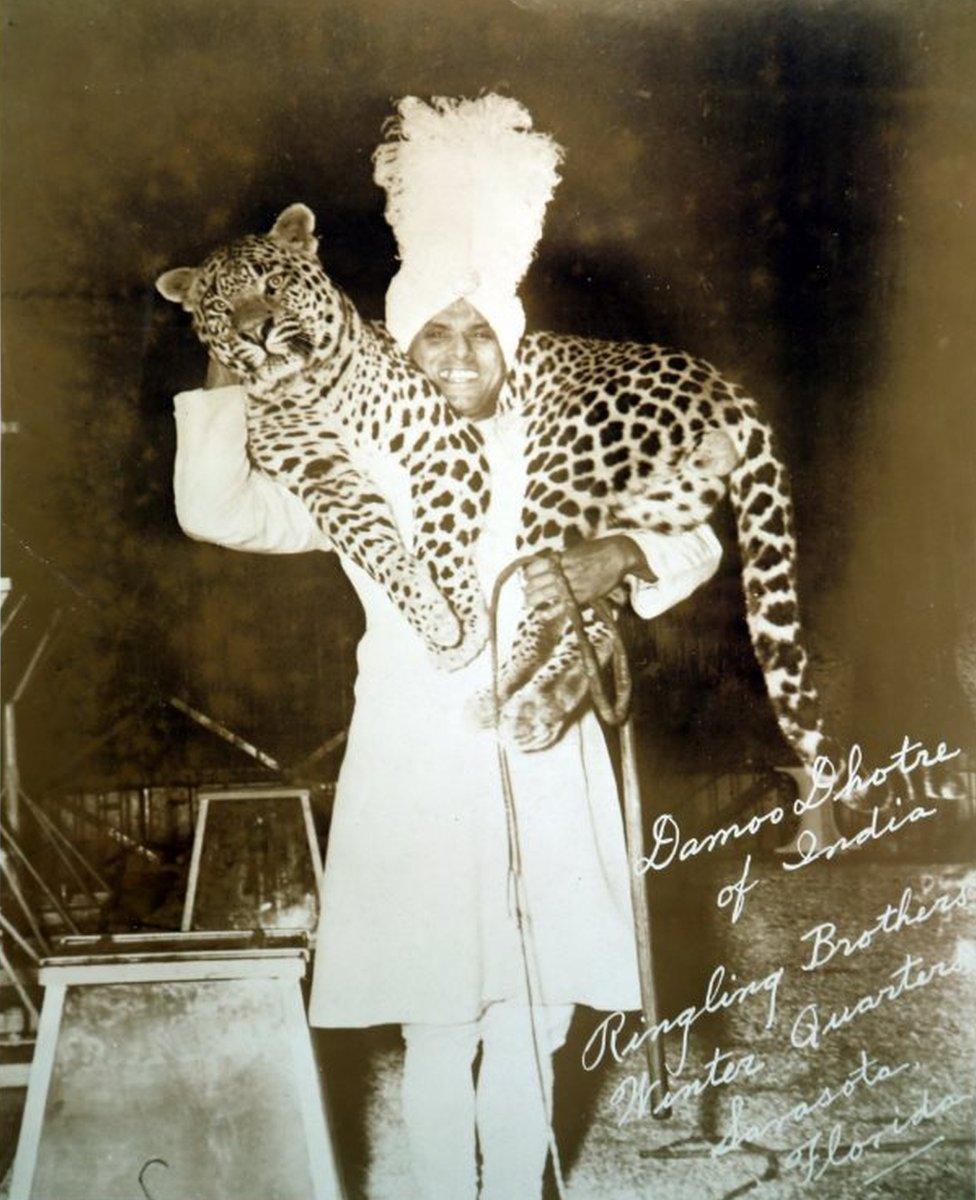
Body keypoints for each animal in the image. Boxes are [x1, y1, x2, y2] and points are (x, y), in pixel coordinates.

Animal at [160, 207, 494, 676]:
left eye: (273, 283)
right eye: (223, 308)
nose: (256, 332)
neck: (308, 385)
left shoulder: (437, 438)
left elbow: (438, 538)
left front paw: (462, 622)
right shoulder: (328, 480)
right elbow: (381, 551)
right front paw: (436, 618)